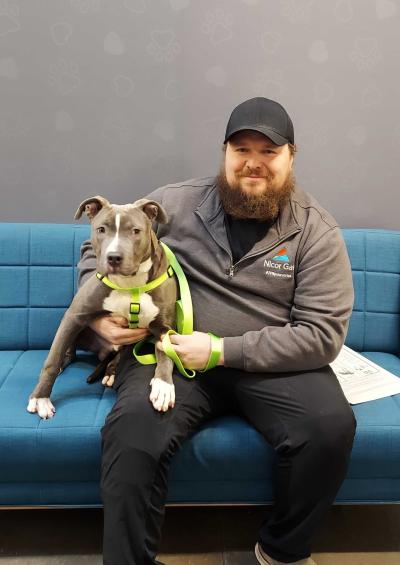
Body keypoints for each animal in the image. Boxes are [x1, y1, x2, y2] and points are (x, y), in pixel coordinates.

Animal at [27, 196, 177, 416]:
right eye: (101, 229)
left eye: (135, 231)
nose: (113, 257)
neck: (130, 284)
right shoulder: (75, 315)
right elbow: (52, 360)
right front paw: (40, 398)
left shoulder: (163, 328)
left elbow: (166, 353)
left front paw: (163, 386)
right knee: (67, 350)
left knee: (117, 356)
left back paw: (111, 371)